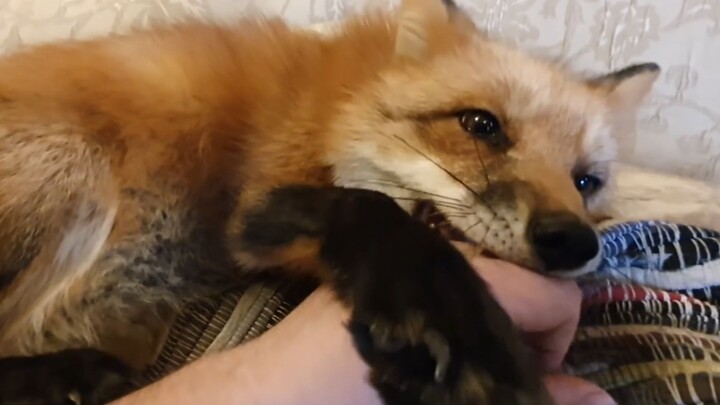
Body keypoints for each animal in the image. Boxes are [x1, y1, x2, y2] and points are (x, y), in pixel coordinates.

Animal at [0, 0, 660, 403]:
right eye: (481, 125)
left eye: (584, 181)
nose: (573, 242)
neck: (336, 103)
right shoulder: (258, 207)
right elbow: (377, 214)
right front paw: (460, 331)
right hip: (76, 172)